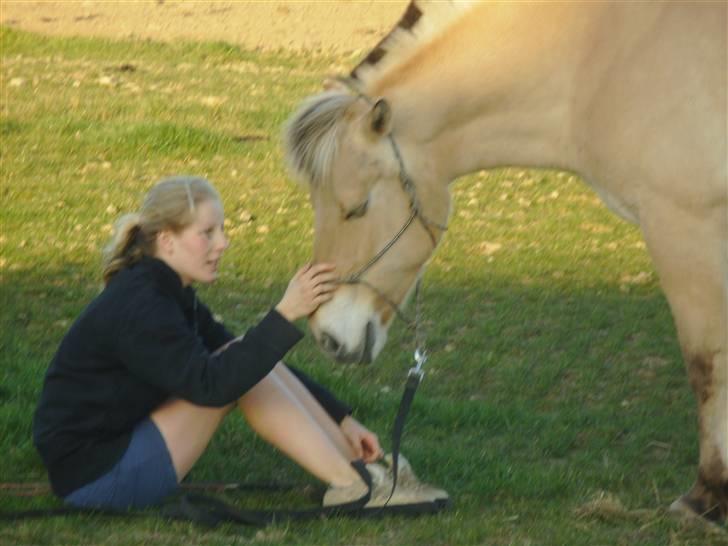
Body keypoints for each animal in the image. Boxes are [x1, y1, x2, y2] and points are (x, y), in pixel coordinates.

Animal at [282, 0, 728, 520]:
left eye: (355, 208)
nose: (327, 337)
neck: (598, 53)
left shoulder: (683, 229)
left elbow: (705, 364)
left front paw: (707, 496)